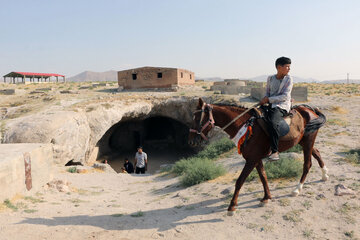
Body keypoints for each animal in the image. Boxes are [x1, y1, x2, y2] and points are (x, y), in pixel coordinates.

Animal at [188, 98, 330, 216]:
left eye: (197, 118)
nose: (191, 141)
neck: (245, 125)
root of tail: (310, 110)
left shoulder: (252, 160)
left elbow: (240, 181)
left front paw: (232, 207)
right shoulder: (256, 159)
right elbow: (263, 177)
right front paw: (266, 198)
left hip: (308, 141)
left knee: (307, 164)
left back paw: (297, 189)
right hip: (303, 141)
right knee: (317, 153)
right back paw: (325, 175)